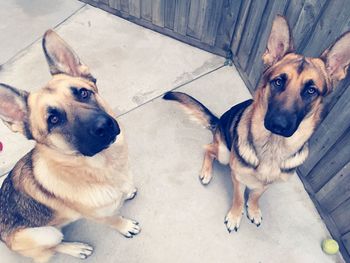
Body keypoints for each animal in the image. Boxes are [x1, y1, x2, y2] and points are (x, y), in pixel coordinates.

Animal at [0, 30, 139, 262]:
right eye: (54, 120)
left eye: (83, 93)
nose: (103, 126)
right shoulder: (101, 216)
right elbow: (114, 219)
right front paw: (125, 225)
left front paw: (127, 190)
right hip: (45, 234)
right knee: (53, 247)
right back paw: (75, 248)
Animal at [164, 15, 350, 232]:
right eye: (278, 81)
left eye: (311, 90)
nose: (279, 125)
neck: (273, 147)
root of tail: (218, 122)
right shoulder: (238, 176)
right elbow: (238, 198)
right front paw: (235, 215)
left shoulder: (266, 183)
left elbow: (255, 196)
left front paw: (252, 209)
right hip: (224, 153)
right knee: (208, 149)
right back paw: (206, 172)